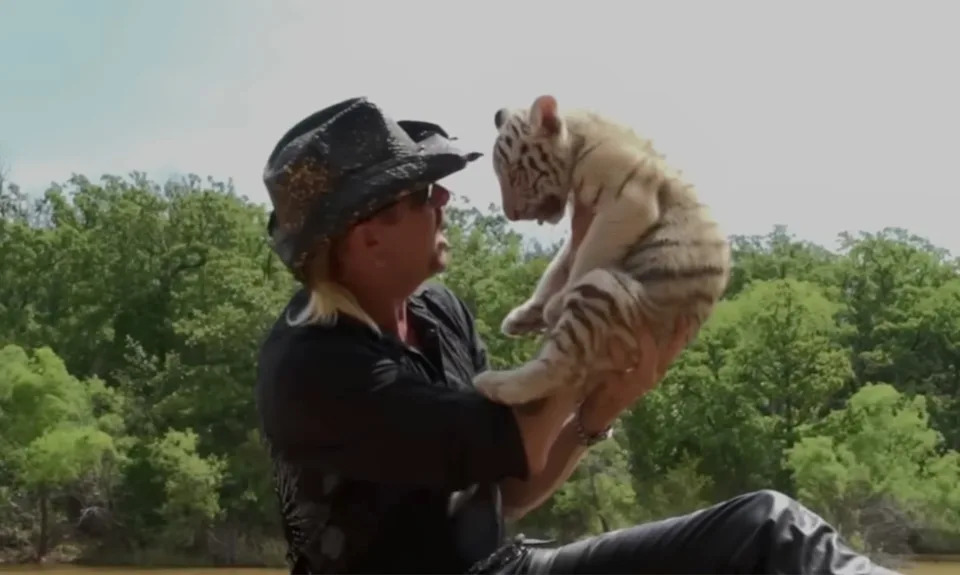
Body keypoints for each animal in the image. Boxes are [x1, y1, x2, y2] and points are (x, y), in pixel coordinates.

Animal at [471, 94, 732, 406]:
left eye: (516, 172)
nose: (511, 214)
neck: (577, 142)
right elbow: (558, 267)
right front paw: (525, 313)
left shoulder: (628, 203)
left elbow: (586, 256)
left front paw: (554, 305)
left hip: (604, 292)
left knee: (558, 367)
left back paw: (492, 383)